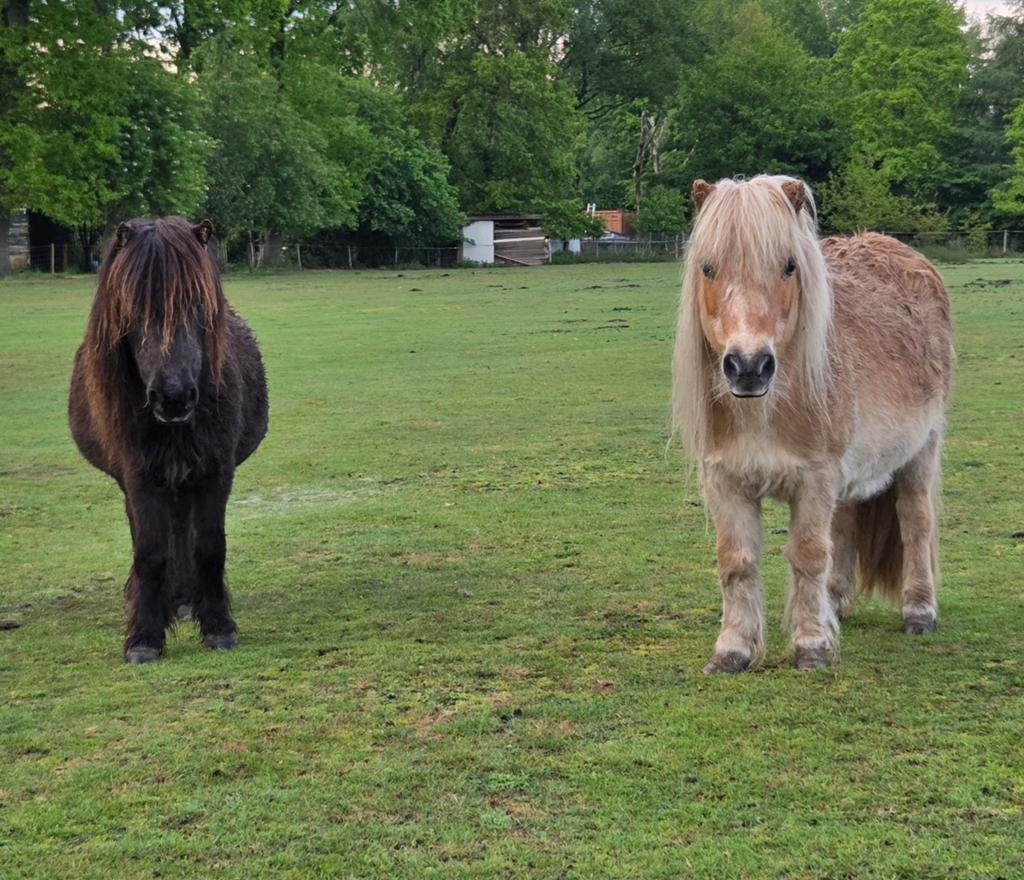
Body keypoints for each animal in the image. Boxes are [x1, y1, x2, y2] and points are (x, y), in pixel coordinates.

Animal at [68, 217, 268, 663]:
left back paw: (185, 601)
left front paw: (218, 626)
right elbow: (150, 552)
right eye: (131, 309)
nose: (173, 396)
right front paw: (144, 636)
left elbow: (209, 546)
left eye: (198, 304)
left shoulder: (215, 472)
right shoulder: (140, 477)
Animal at [672, 175, 953, 673]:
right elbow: (736, 562)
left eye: (789, 266)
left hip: (922, 449)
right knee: (844, 525)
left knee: (915, 520)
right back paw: (836, 604)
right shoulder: (725, 480)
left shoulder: (815, 477)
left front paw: (811, 646)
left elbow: (806, 555)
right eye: (707, 267)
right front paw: (732, 650)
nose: (749, 367)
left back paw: (919, 612)